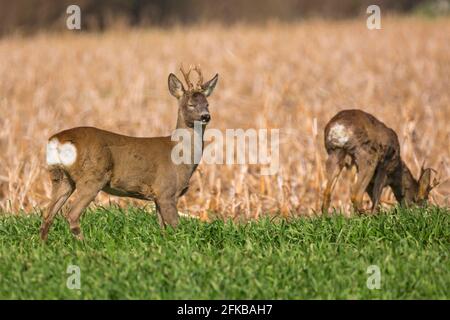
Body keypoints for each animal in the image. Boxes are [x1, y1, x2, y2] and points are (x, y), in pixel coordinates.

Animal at [39, 65, 219, 240]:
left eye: (207, 104)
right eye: (190, 104)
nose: (206, 116)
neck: (180, 156)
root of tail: (57, 139)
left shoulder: (157, 196)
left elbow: (162, 229)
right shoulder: (166, 192)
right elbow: (175, 228)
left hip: (61, 177)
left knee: (48, 214)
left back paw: (44, 245)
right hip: (92, 177)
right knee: (72, 214)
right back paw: (85, 246)